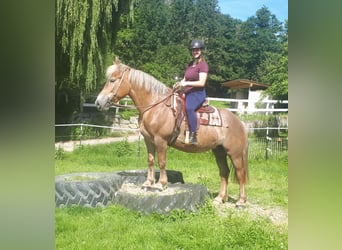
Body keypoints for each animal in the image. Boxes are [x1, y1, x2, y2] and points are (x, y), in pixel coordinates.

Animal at [96, 57, 248, 206]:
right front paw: (148, 183)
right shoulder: (148, 140)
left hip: (234, 153)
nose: (98, 102)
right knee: (224, 172)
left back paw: (241, 201)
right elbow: (150, 160)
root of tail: (239, 122)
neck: (156, 107)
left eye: (112, 80)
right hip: (219, 151)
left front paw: (160, 185)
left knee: (240, 173)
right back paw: (220, 198)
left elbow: (162, 162)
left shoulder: (160, 140)